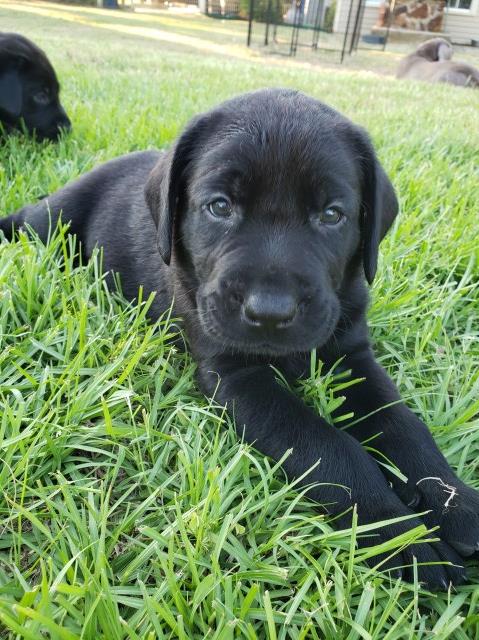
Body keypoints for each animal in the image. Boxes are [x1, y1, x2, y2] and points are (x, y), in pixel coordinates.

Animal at [1, 89, 478, 592]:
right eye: (219, 207)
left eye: (332, 215)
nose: (270, 312)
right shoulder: (238, 378)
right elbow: (329, 447)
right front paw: (400, 533)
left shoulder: (351, 357)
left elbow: (401, 424)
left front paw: (455, 502)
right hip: (51, 221)